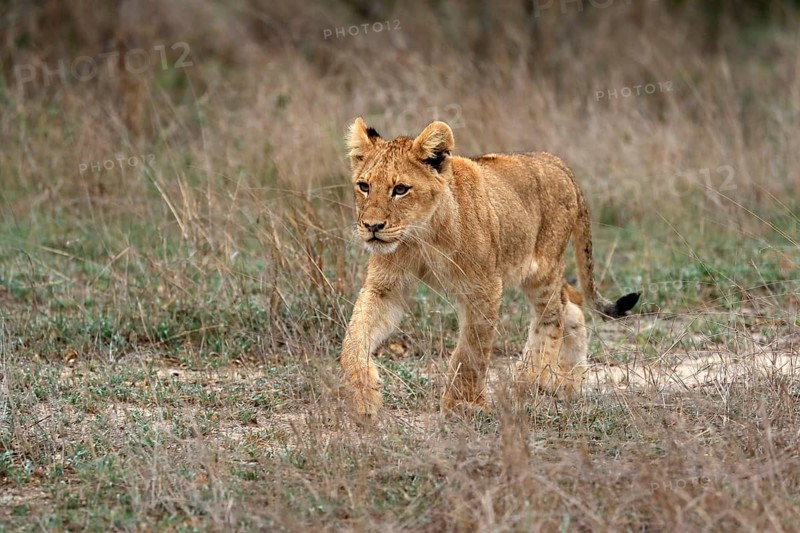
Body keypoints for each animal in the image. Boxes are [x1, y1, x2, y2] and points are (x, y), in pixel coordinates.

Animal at [339, 117, 639, 417]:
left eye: (400, 189)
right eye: (364, 186)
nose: (372, 226)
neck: (422, 235)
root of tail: (555, 160)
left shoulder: (484, 287)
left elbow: (471, 349)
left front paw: (462, 403)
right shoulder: (385, 288)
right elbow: (354, 338)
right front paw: (363, 397)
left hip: (542, 269)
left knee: (553, 315)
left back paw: (532, 378)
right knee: (572, 301)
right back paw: (567, 383)